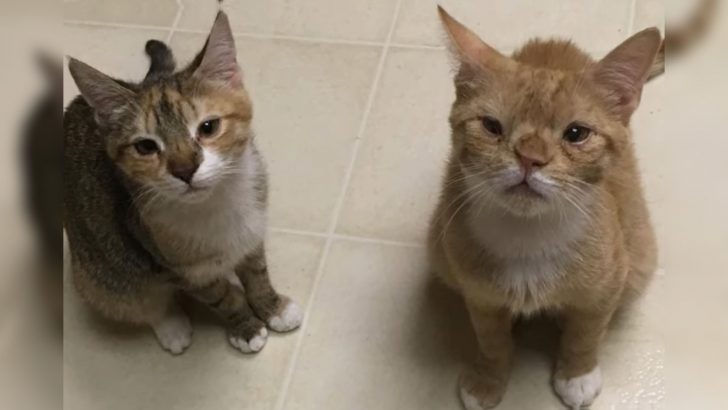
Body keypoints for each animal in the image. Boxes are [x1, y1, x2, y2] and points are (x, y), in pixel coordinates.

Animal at [64, 11, 300, 354]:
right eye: (145, 147)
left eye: (208, 127)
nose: (186, 169)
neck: (215, 203)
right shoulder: (180, 269)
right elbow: (223, 297)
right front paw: (245, 325)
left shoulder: (252, 229)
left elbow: (256, 272)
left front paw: (272, 307)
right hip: (101, 274)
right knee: (137, 298)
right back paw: (171, 326)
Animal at [430, 6, 664, 410]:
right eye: (491, 126)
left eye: (576, 133)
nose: (530, 158)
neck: (528, 236)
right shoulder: (478, 294)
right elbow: (491, 341)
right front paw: (487, 380)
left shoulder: (609, 283)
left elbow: (586, 332)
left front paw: (577, 374)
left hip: (640, 257)